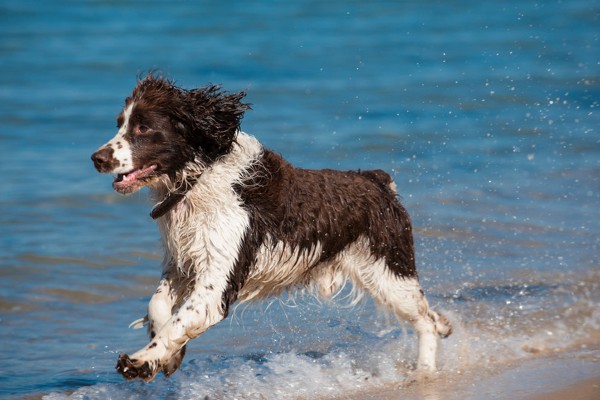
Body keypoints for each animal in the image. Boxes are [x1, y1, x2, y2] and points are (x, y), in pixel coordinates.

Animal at [91, 75, 452, 382]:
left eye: (143, 127)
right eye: (119, 124)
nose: (97, 158)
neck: (199, 178)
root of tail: (377, 181)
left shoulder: (218, 277)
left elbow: (183, 318)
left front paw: (141, 361)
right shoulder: (183, 263)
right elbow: (157, 306)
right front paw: (169, 358)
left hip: (389, 272)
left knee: (425, 320)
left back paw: (425, 371)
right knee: (431, 317)